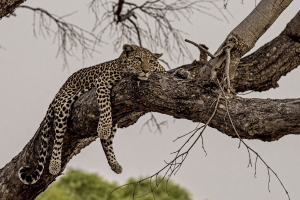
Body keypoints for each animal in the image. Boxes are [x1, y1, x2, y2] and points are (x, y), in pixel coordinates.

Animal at [18, 43, 166, 184]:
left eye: (150, 61)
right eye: (138, 59)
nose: (146, 71)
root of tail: (60, 90)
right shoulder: (102, 81)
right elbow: (105, 104)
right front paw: (104, 126)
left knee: (106, 141)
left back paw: (114, 164)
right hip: (63, 105)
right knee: (58, 137)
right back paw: (54, 164)